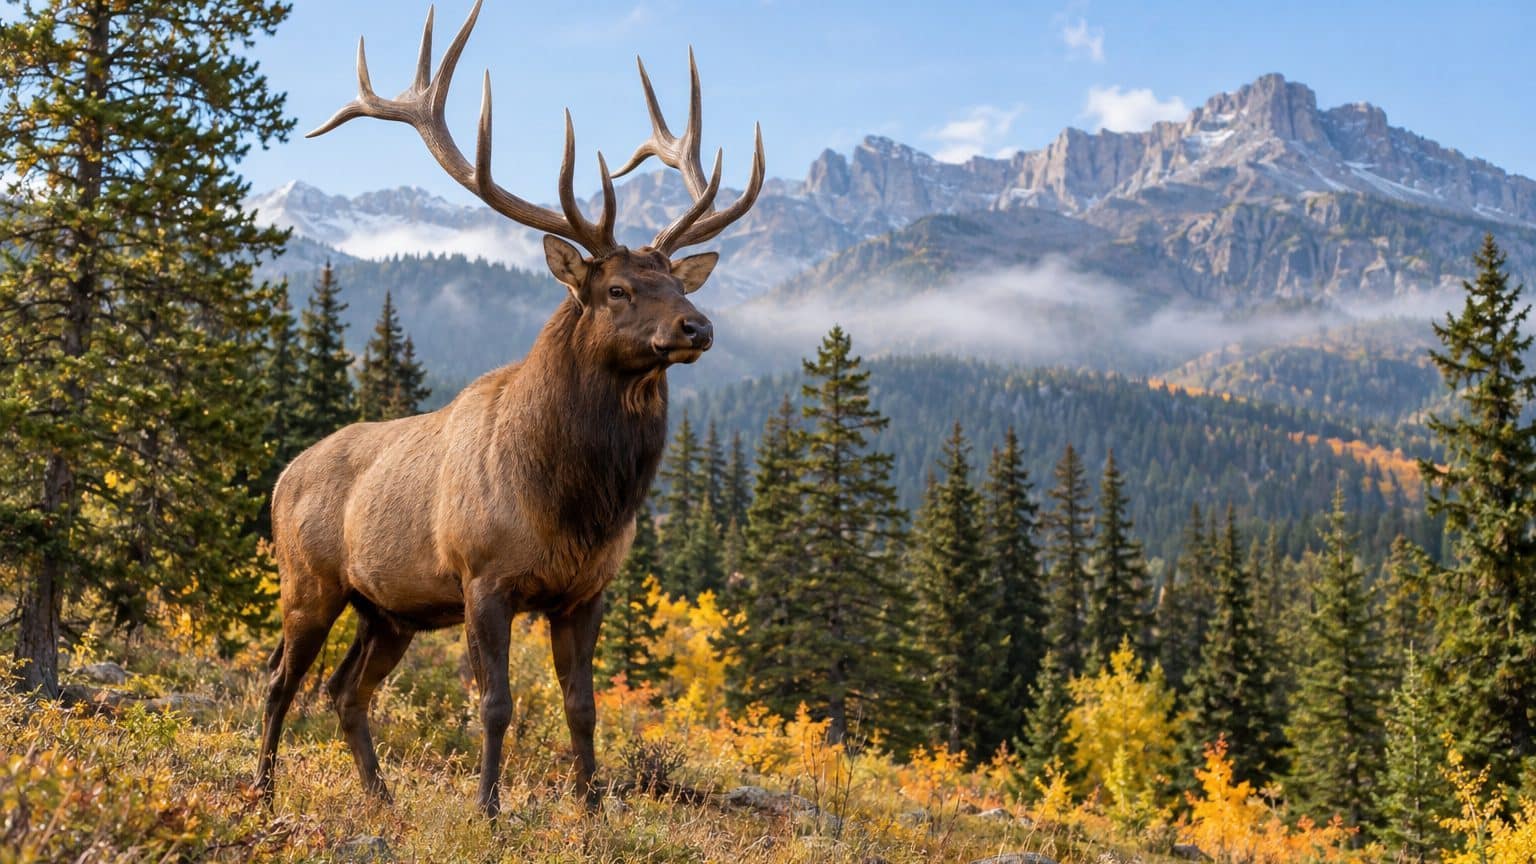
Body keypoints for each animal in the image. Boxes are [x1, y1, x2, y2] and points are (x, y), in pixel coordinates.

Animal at [252, 0, 763, 818]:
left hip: (386, 609)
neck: (574, 503)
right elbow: (495, 704)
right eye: (617, 289)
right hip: (310, 581)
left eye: (679, 285)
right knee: (280, 680)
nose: (698, 327)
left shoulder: (585, 593)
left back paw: (382, 800)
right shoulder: (482, 578)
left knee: (343, 690)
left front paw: (592, 811)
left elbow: (583, 707)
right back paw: (263, 791)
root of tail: (280, 478)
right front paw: (488, 810)